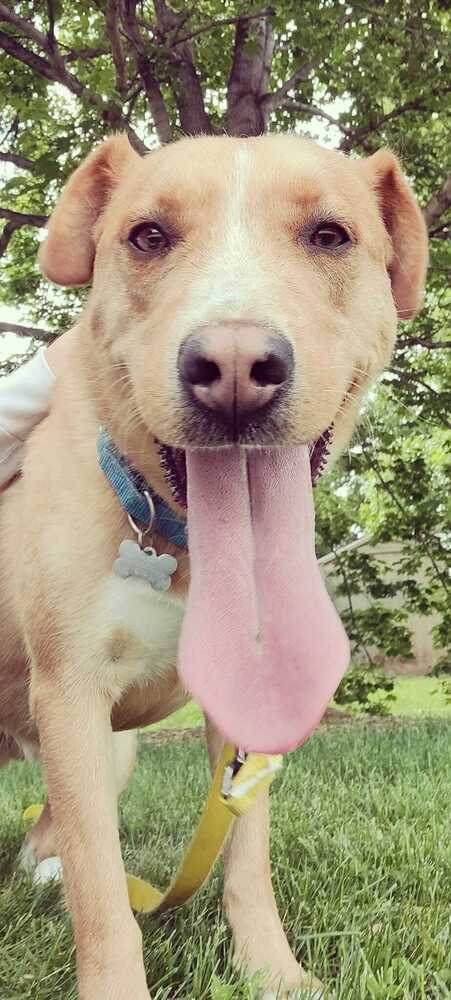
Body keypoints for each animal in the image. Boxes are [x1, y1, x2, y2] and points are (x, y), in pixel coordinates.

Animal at [0, 135, 428, 1000]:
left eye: (329, 235)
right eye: (147, 236)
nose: (233, 365)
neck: (174, 542)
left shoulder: (238, 716)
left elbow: (245, 861)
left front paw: (271, 972)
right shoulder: (70, 695)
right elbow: (102, 892)